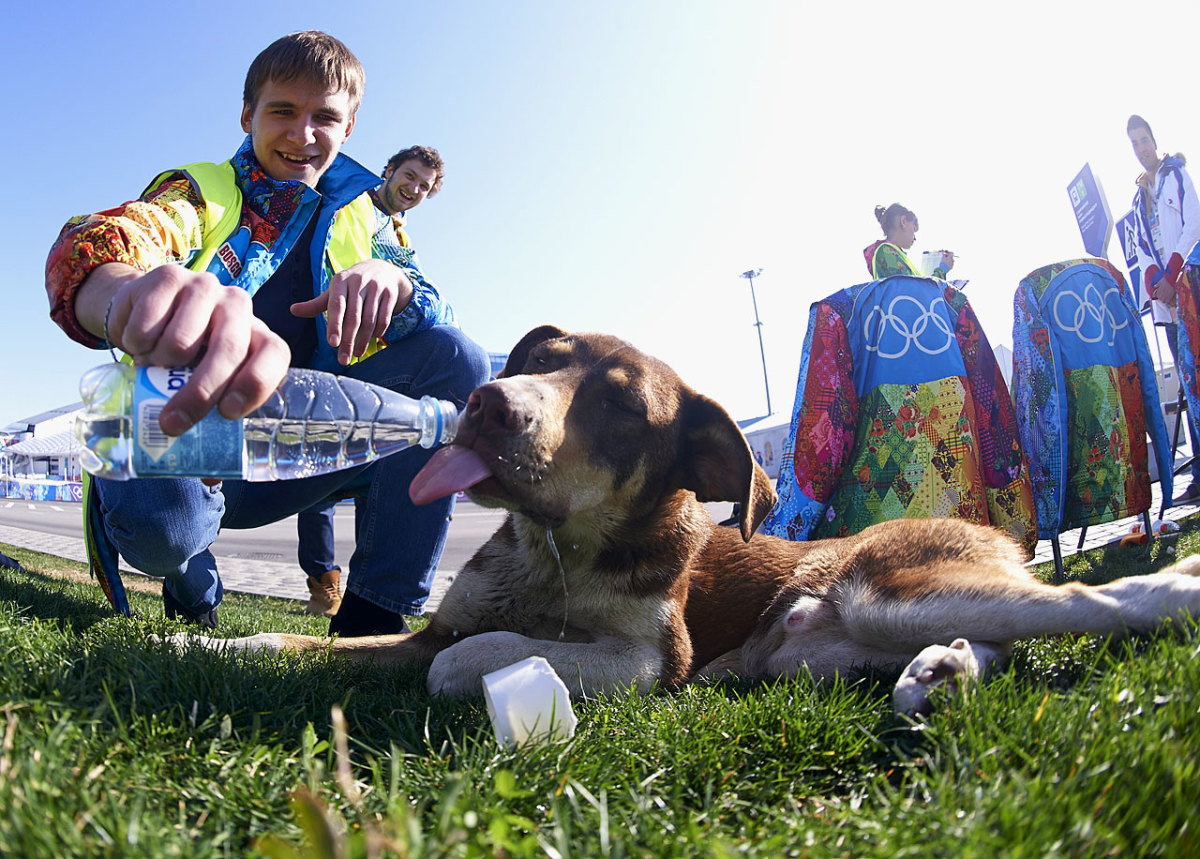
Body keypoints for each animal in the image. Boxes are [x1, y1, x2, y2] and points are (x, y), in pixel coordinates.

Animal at [166, 326, 1200, 715]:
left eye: (623, 407)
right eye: (539, 357)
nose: (490, 403)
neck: (553, 555)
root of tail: (985, 528)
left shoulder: (646, 662)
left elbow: (470, 659)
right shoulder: (431, 626)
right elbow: (313, 647)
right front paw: (211, 644)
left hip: (887, 584)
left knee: (1100, 602)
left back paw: (1169, 587)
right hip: (833, 642)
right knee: (997, 634)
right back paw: (941, 670)